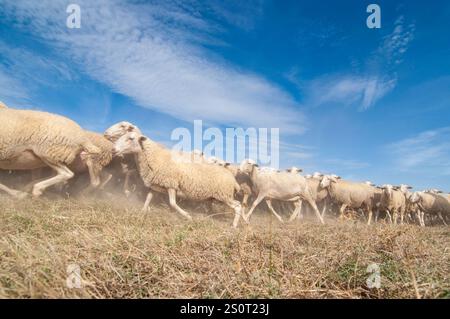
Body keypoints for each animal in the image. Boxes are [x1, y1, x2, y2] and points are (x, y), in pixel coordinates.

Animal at [110, 129, 244, 229]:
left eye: (131, 138)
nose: (113, 149)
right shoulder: (156, 185)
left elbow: (173, 203)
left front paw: (188, 216)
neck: (156, 157)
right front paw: (143, 211)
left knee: (238, 206)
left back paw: (234, 225)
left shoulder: (171, 185)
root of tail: (233, 179)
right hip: (217, 196)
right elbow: (148, 198)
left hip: (224, 195)